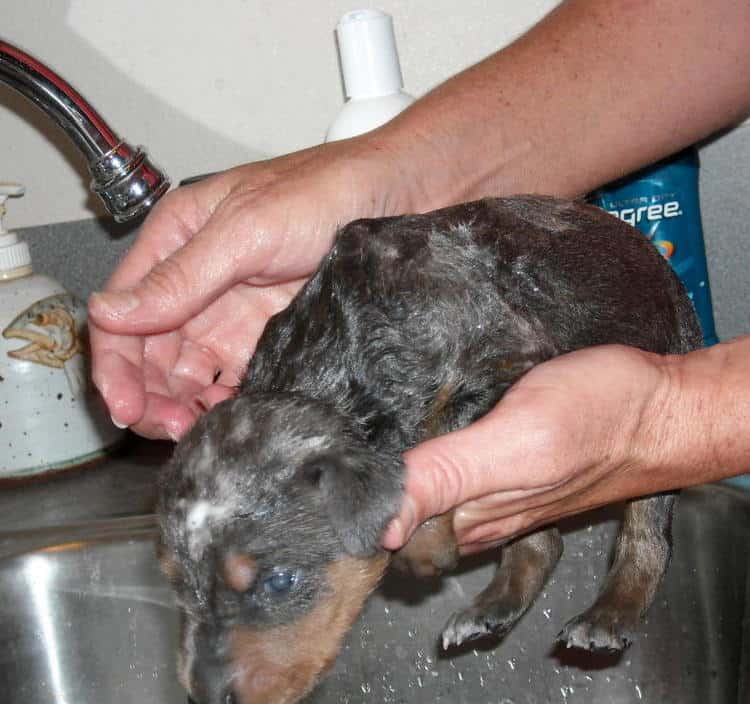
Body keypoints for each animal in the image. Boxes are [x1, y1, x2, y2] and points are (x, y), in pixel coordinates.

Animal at [159, 195, 704, 704]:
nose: (203, 697)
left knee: (647, 534)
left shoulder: (514, 361)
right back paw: (491, 609)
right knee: (543, 543)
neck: (338, 364)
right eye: (177, 585)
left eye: (280, 582)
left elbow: (442, 427)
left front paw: (423, 543)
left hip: (673, 351)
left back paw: (608, 616)